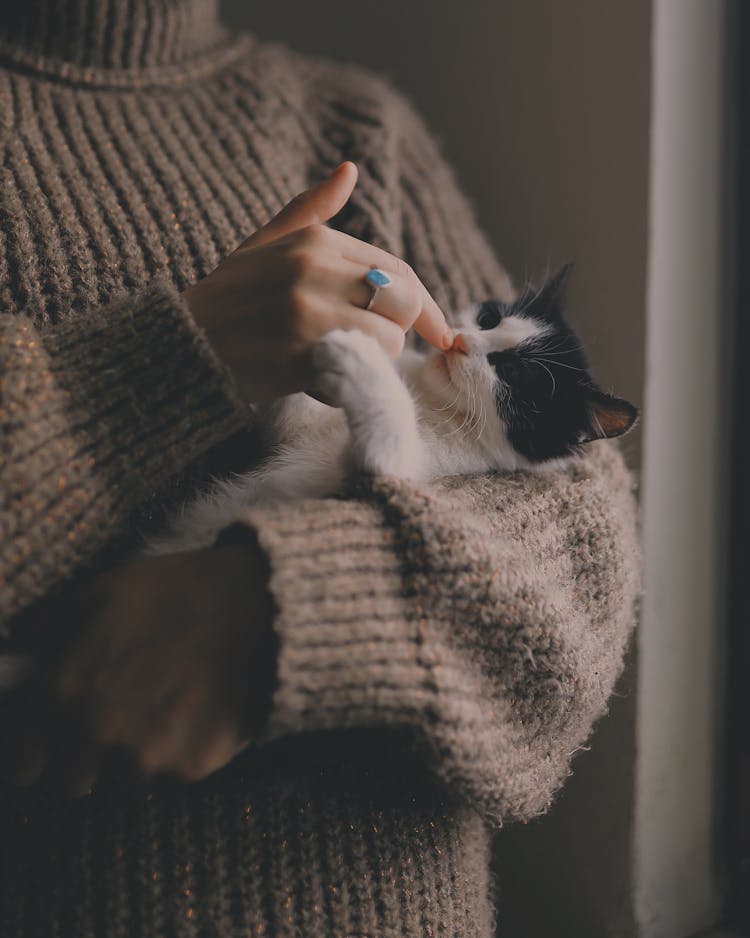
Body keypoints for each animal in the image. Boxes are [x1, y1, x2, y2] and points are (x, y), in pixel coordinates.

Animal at [148, 264, 640, 556]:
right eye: (489, 319)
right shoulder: (296, 429)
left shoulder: (390, 471)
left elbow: (388, 431)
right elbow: (288, 413)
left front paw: (358, 350)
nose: (460, 342)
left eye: (513, 373)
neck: (428, 396)